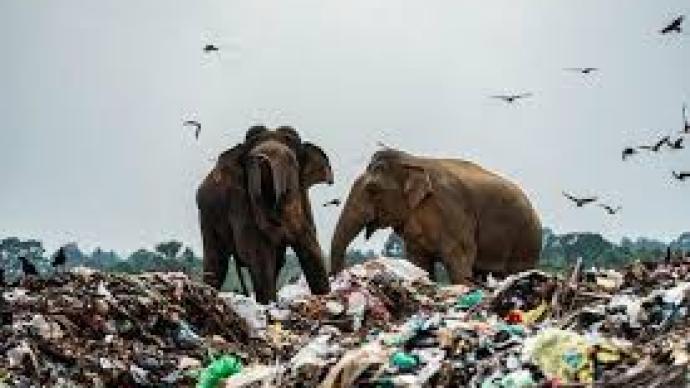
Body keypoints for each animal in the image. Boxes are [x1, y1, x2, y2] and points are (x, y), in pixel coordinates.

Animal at [195, 126, 332, 304]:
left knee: (276, 264)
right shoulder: (242, 203)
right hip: (206, 215)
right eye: (250, 163)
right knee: (217, 264)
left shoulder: (303, 198)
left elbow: (310, 249)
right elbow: (260, 255)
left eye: (292, 163)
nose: (260, 157)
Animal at [330, 147, 540, 284]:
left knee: (517, 271)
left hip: (526, 239)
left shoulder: (452, 210)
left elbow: (459, 259)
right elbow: (419, 263)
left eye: (373, 190)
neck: (412, 161)